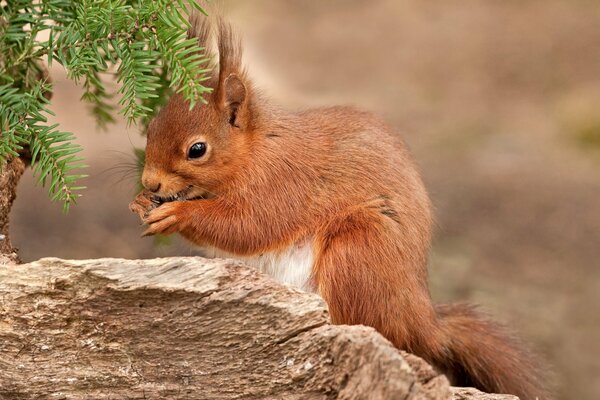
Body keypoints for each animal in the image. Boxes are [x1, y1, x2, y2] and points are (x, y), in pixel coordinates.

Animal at [131, 14, 548, 398]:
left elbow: (249, 226)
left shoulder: (283, 182)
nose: (149, 182)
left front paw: (177, 214)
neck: (256, 148)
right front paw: (141, 202)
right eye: (150, 129)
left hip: (357, 251)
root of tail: (423, 321)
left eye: (197, 150)